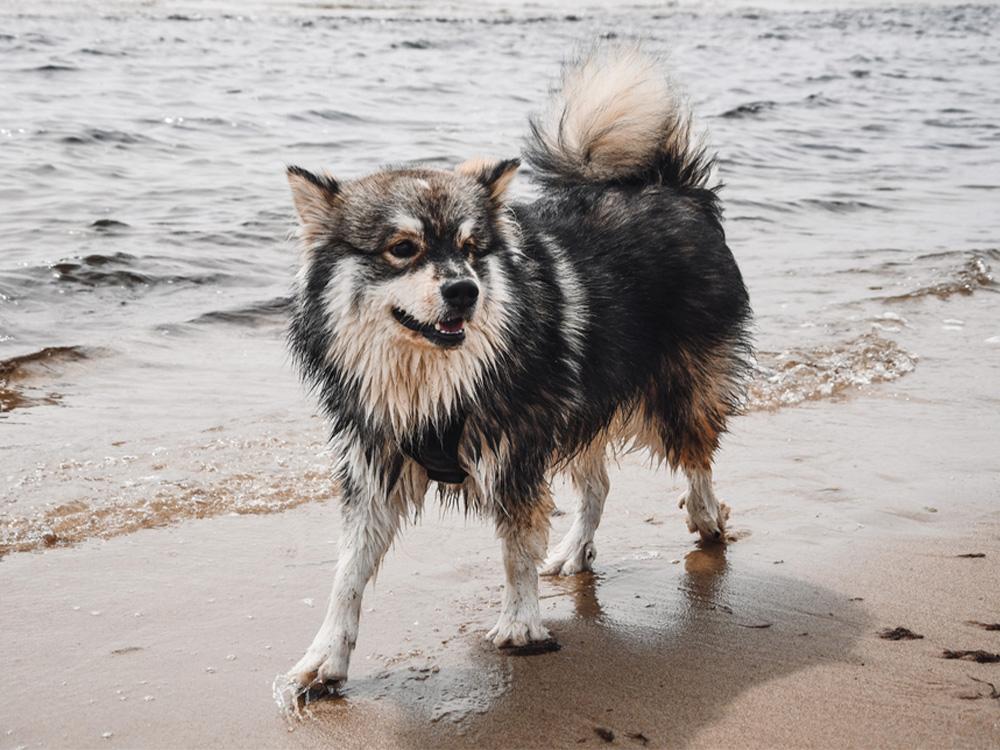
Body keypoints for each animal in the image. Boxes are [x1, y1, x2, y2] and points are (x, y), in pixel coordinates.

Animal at [282, 47, 752, 700]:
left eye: (470, 246)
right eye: (403, 248)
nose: (463, 291)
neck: (434, 381)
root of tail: (672, 187)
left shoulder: (515, 452)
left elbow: (515, 549)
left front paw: (521, 624)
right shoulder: (376, 460)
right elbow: (347, 574)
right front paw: (325, 657)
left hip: (673, 391)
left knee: (697, 458)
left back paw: (707, 520)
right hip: (581, 400)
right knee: (598, 485)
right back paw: (577, 549)